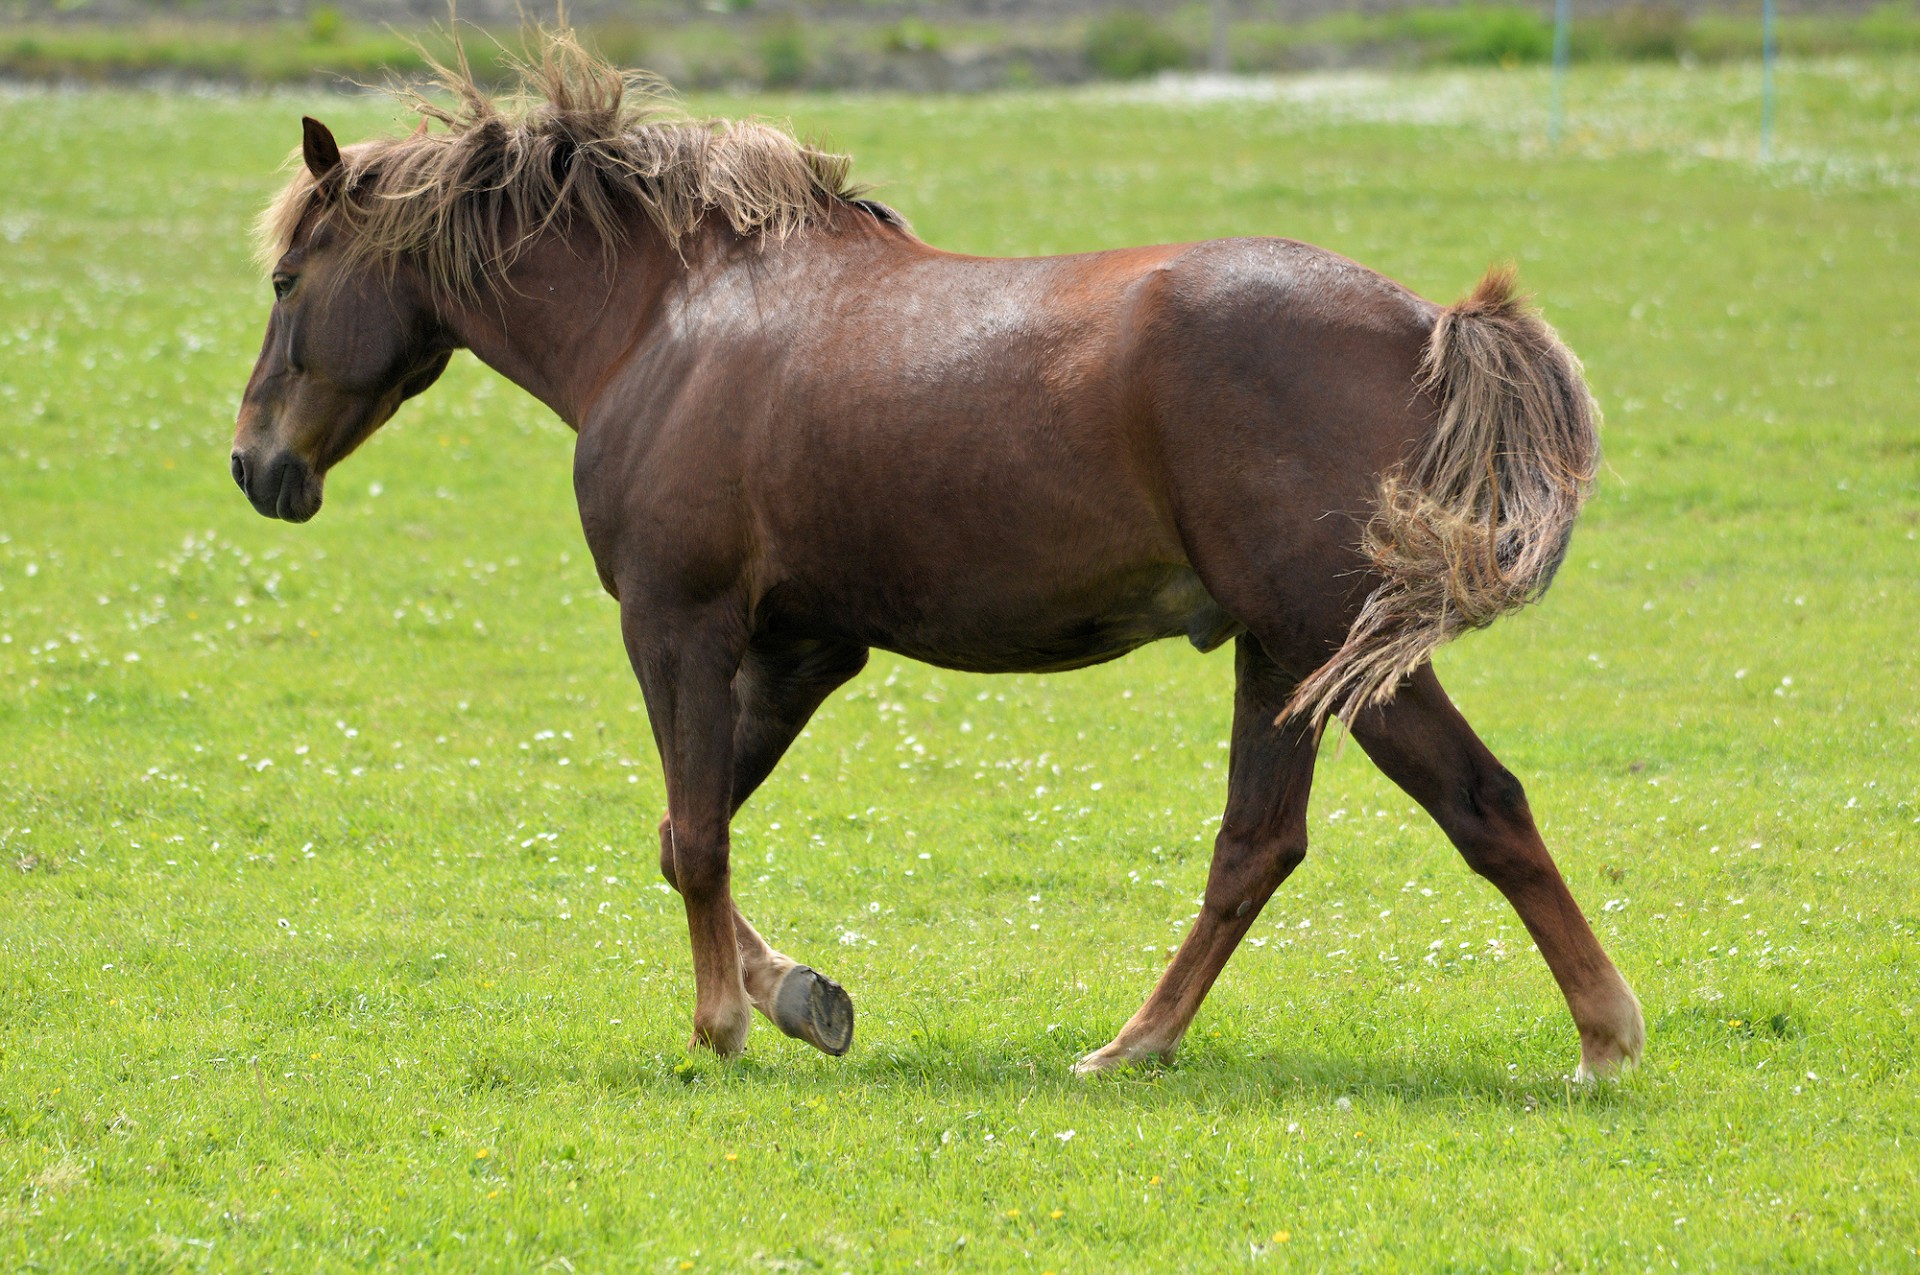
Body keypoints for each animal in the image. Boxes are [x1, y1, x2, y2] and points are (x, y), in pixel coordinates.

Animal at [224, 32, 1643, 1075]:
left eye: (290, 280)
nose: (254, 465)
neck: (664, 321)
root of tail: (1428, 325)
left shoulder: (678, 621)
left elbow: (696, 833)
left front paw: (722, 1027)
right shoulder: (803, 646)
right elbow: (690, 825)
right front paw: (800, 996)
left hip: (1331, 639)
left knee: (1478, 804)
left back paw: (1605, 1039)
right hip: (1284, 656)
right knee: (1259, 845)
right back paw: (1135, 1045)